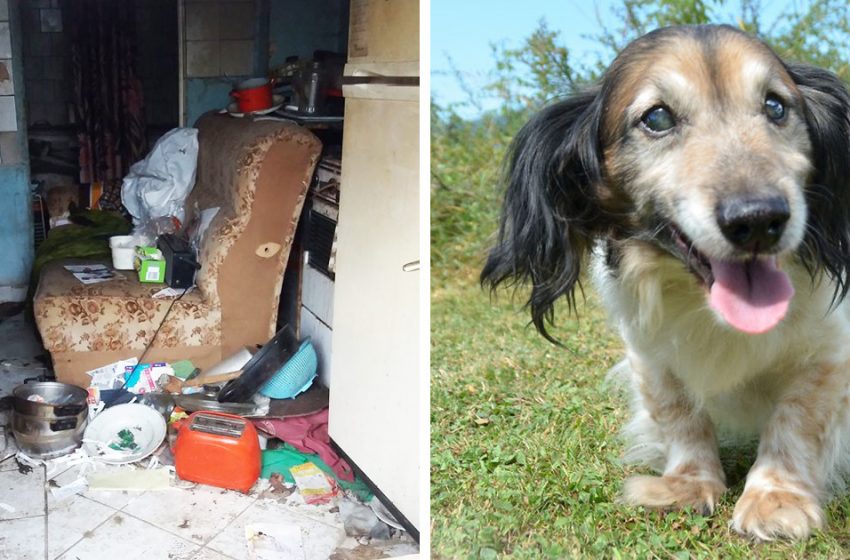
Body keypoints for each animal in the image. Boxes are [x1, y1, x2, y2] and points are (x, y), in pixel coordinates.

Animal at [480, 24, 848, 540]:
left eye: (776, 106)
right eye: (656, 117)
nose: (759, 220)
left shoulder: (828, 354)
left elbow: (795, 420)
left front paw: (777, 498)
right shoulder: (650, 356)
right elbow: (680, 416)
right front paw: (688, 485)